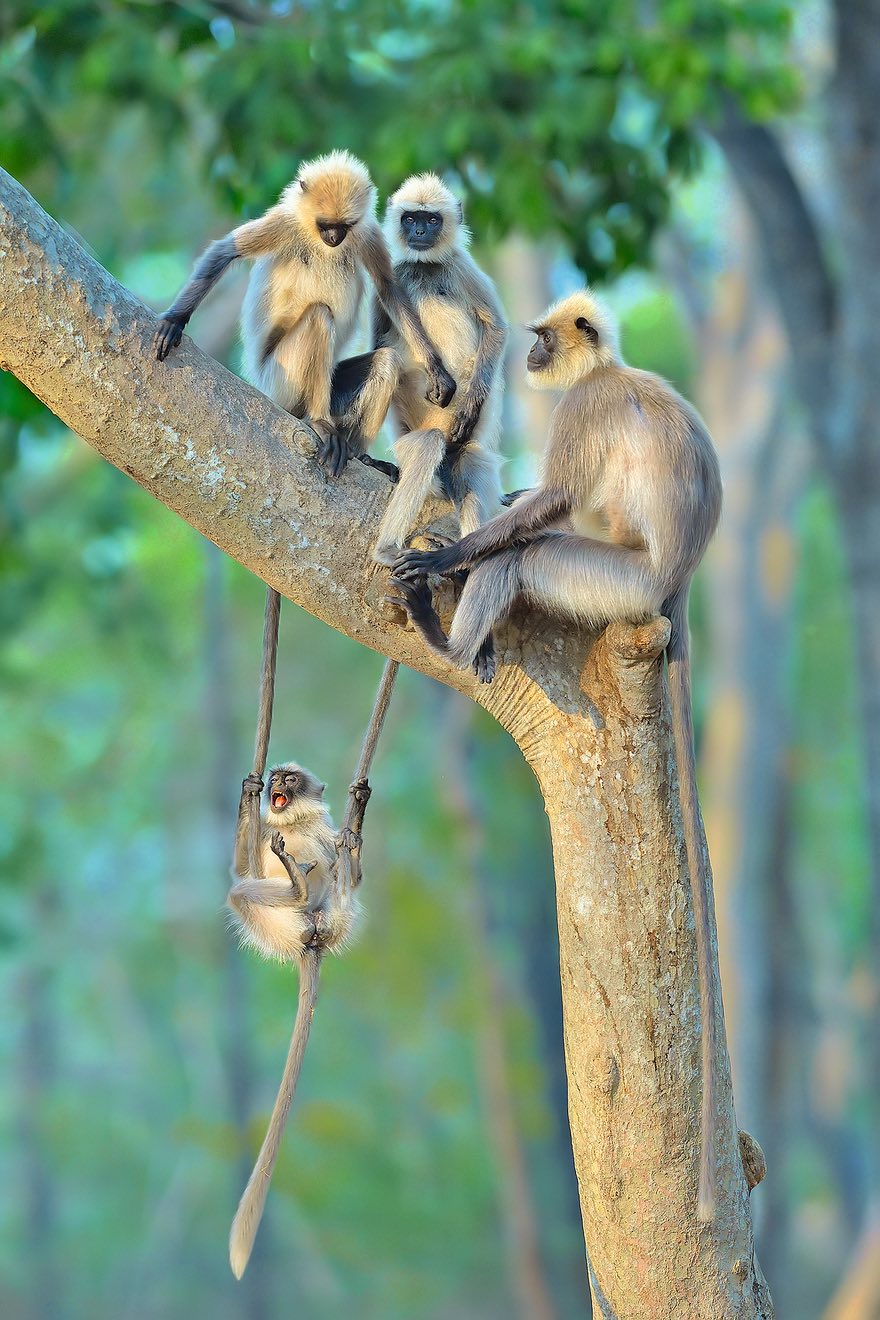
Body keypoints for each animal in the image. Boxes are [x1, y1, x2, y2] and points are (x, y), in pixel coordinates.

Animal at [153, 151, 453, 477]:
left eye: (344, 226)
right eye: (325, 225)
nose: (333, 237)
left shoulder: (367, 230)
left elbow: (389, 289)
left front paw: (436, 369)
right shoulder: (284, 221)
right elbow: (225, 252)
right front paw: (175, 320)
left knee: (386, 360)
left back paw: (361, 455)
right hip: (280, 380)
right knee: (320, 316)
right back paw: (319, 422)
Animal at [229, 765, 364, 1277]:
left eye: (290, 778)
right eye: (276, 778)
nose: (273, 783)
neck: (293, 825)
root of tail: (312, 939)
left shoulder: (321, 833)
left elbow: (354, 873)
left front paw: (354, 826)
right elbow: (242, 869)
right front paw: (247, 795)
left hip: (333, 917)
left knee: (341, 884)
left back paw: (310, 877)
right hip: (277, 926)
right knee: (243, 890)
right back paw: (296, 886)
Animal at [372, 172, 509, 564]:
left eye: (431, 220)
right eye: (410, 219)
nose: (419, 232)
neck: (425, 267)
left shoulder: (460, 265)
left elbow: (496, 328)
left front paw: (471, 404)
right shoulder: (396, 273)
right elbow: (379, 344)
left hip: (461, 445)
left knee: (469, 463)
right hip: (413, 440)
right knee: (426, 446)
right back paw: (387, 548)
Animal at [387, 294, 728, 1219]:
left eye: (542, 339)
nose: (533, 356)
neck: (607, 371)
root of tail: (677, 584)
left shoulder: (584, 409)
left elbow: (558, 500)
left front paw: (446, 557)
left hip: (615, 585)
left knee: (530, 553)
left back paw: (450, 637)